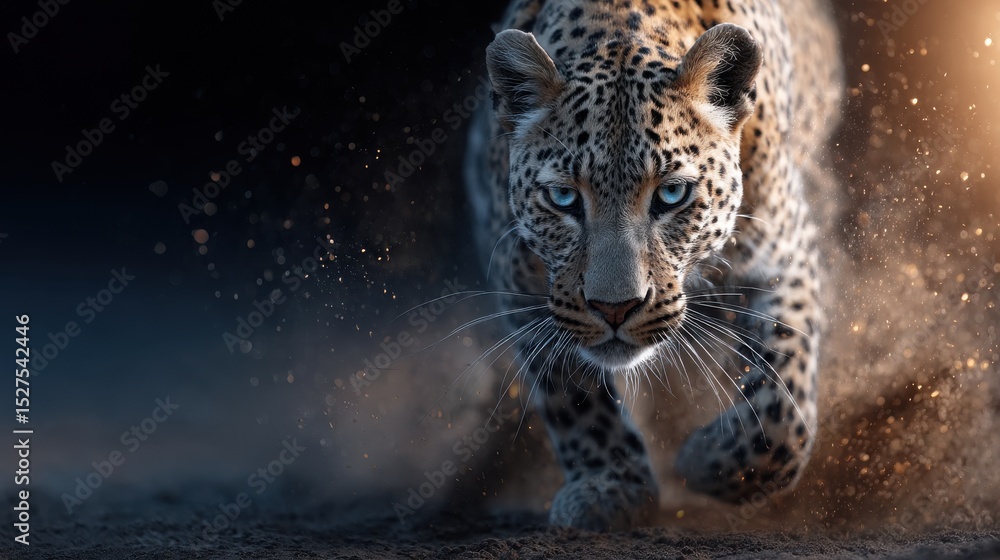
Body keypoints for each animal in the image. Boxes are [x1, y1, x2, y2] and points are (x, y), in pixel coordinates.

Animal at [462, 0, 842, 531]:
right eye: (563, 198)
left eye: (672, 194)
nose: (614, 309)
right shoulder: (521, 287)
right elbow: (572, 395)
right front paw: (611, 486)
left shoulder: (784, 252)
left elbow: (782, 407)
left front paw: (703, 463)